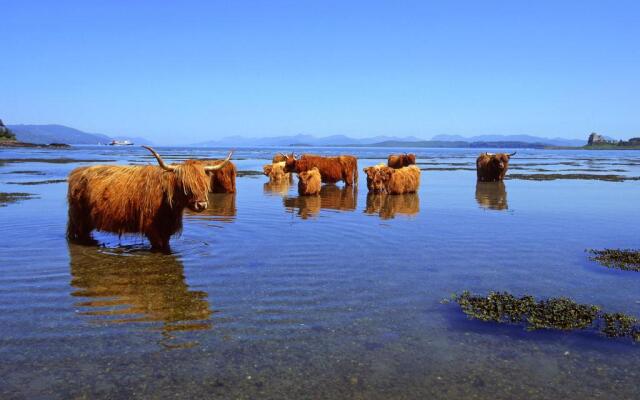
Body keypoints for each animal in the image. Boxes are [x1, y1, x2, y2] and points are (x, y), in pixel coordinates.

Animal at [67, 147, 231, 253]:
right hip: (79, 219)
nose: (201, 205)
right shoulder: (152, 229)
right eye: (185, 185)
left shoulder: (166, 230)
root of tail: (77, 172)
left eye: (204, 184)